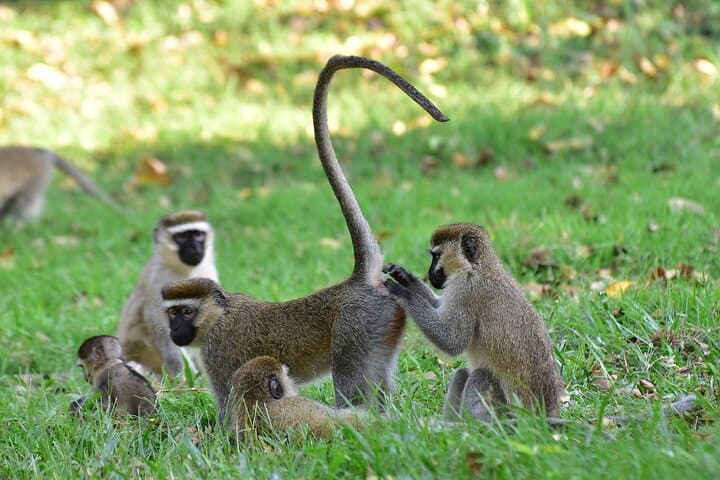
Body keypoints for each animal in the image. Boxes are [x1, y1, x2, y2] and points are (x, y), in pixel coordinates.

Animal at [116, 210, 219, 377]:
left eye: (198, 235)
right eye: (181, 237)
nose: (195, 248)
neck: (185, 271)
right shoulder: (160, 279)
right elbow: (162, 328)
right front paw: (184, 378)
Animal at [160, 55, 448, 424]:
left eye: (184, 312)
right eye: (171, 314)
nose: (174, 332)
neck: (217, 317)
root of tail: (358, 282)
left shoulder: (217, 353)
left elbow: (228, 412)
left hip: (358, 327)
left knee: (352, 388)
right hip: (382, 326)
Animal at [383, 223, 565, 422]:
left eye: (436, 256)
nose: (430, 274)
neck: (477, 268)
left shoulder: (466, 290)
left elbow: (453, 340)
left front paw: (403, 292)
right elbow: (440, 306)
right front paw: (405, 277)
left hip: (505, 413)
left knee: (480, 376)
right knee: (463, 373)